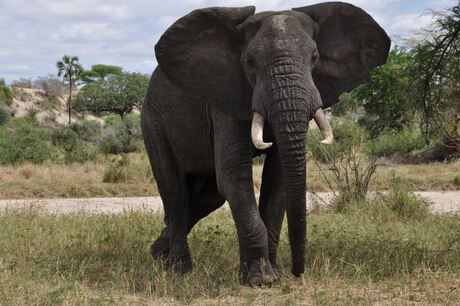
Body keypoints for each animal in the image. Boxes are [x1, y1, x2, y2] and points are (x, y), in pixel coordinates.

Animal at [142, 1, 390, 286]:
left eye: (315, 58)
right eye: (249, 62)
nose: (297, 271)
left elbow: (278, 181)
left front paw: (271, 274)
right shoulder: (225, 97)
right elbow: (235, 176)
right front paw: (262, 280)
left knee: (209, 197)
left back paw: (158, 252)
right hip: (154, 123)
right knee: (176, 193)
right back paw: (178, 269)